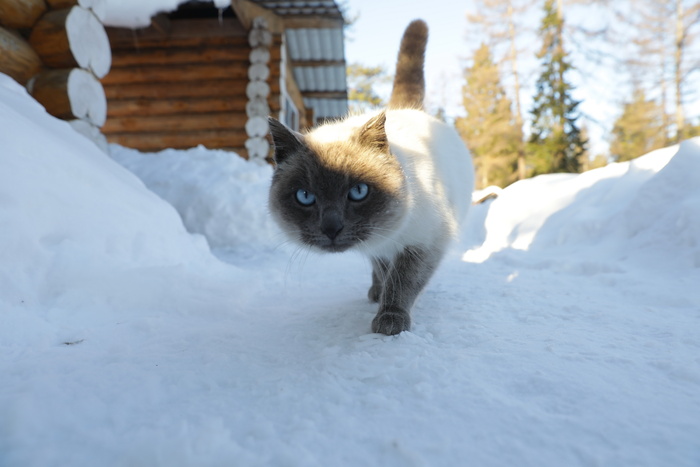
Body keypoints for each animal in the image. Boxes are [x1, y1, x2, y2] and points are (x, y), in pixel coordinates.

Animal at [268, 20, 476, 334]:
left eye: (358, 192)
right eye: (305, 197)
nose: (331, 228)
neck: (391, 234)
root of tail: (406, 110)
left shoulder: (425, 242)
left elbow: (402, 281)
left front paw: (390, 319)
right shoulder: (375, 246)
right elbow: (385, 271)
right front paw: (382, 299)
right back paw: (375, 292)